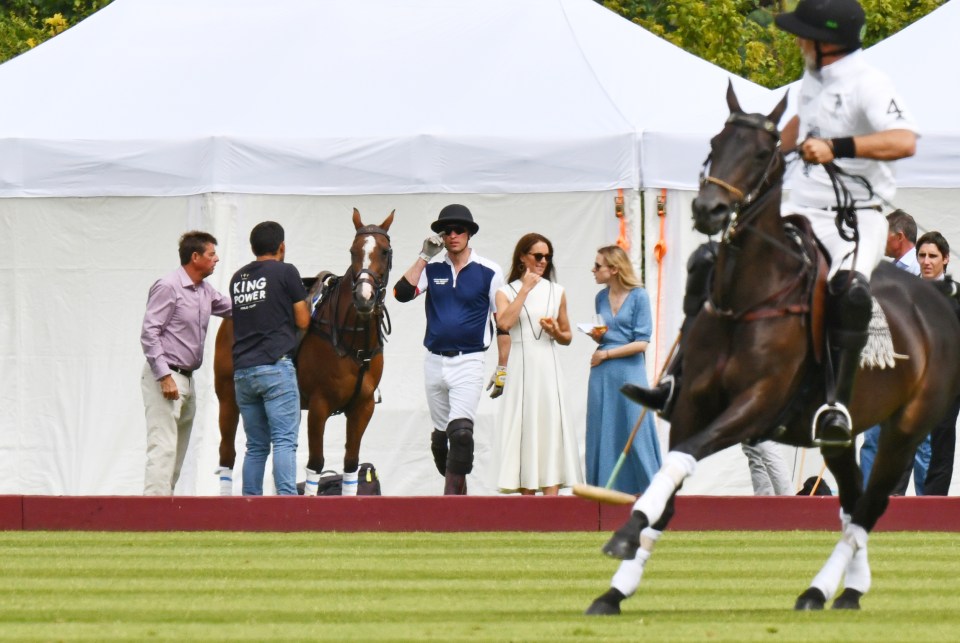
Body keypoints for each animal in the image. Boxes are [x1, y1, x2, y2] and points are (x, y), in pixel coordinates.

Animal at [216, 209, 396, 496]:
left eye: (385, 251)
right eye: (352, 251)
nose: (364, 297)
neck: (352, 339)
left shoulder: (363, 406)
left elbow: (351, 464)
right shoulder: (319, 405)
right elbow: (315, 464)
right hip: (228, 399)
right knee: (227, 455)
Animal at [588, 84, 960, 612]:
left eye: (763, 153)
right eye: (715, 142)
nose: (708, 210)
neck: (746, 299)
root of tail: (938, 298)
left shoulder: (756, 405)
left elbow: (685, 459)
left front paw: (623, 534)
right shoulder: (693, 403)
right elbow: (673, 482)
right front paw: (615, 589)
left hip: (908, 426)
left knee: (870, 505)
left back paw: (822, 589)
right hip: (842, 437)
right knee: (852, 501)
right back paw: (845, 590)